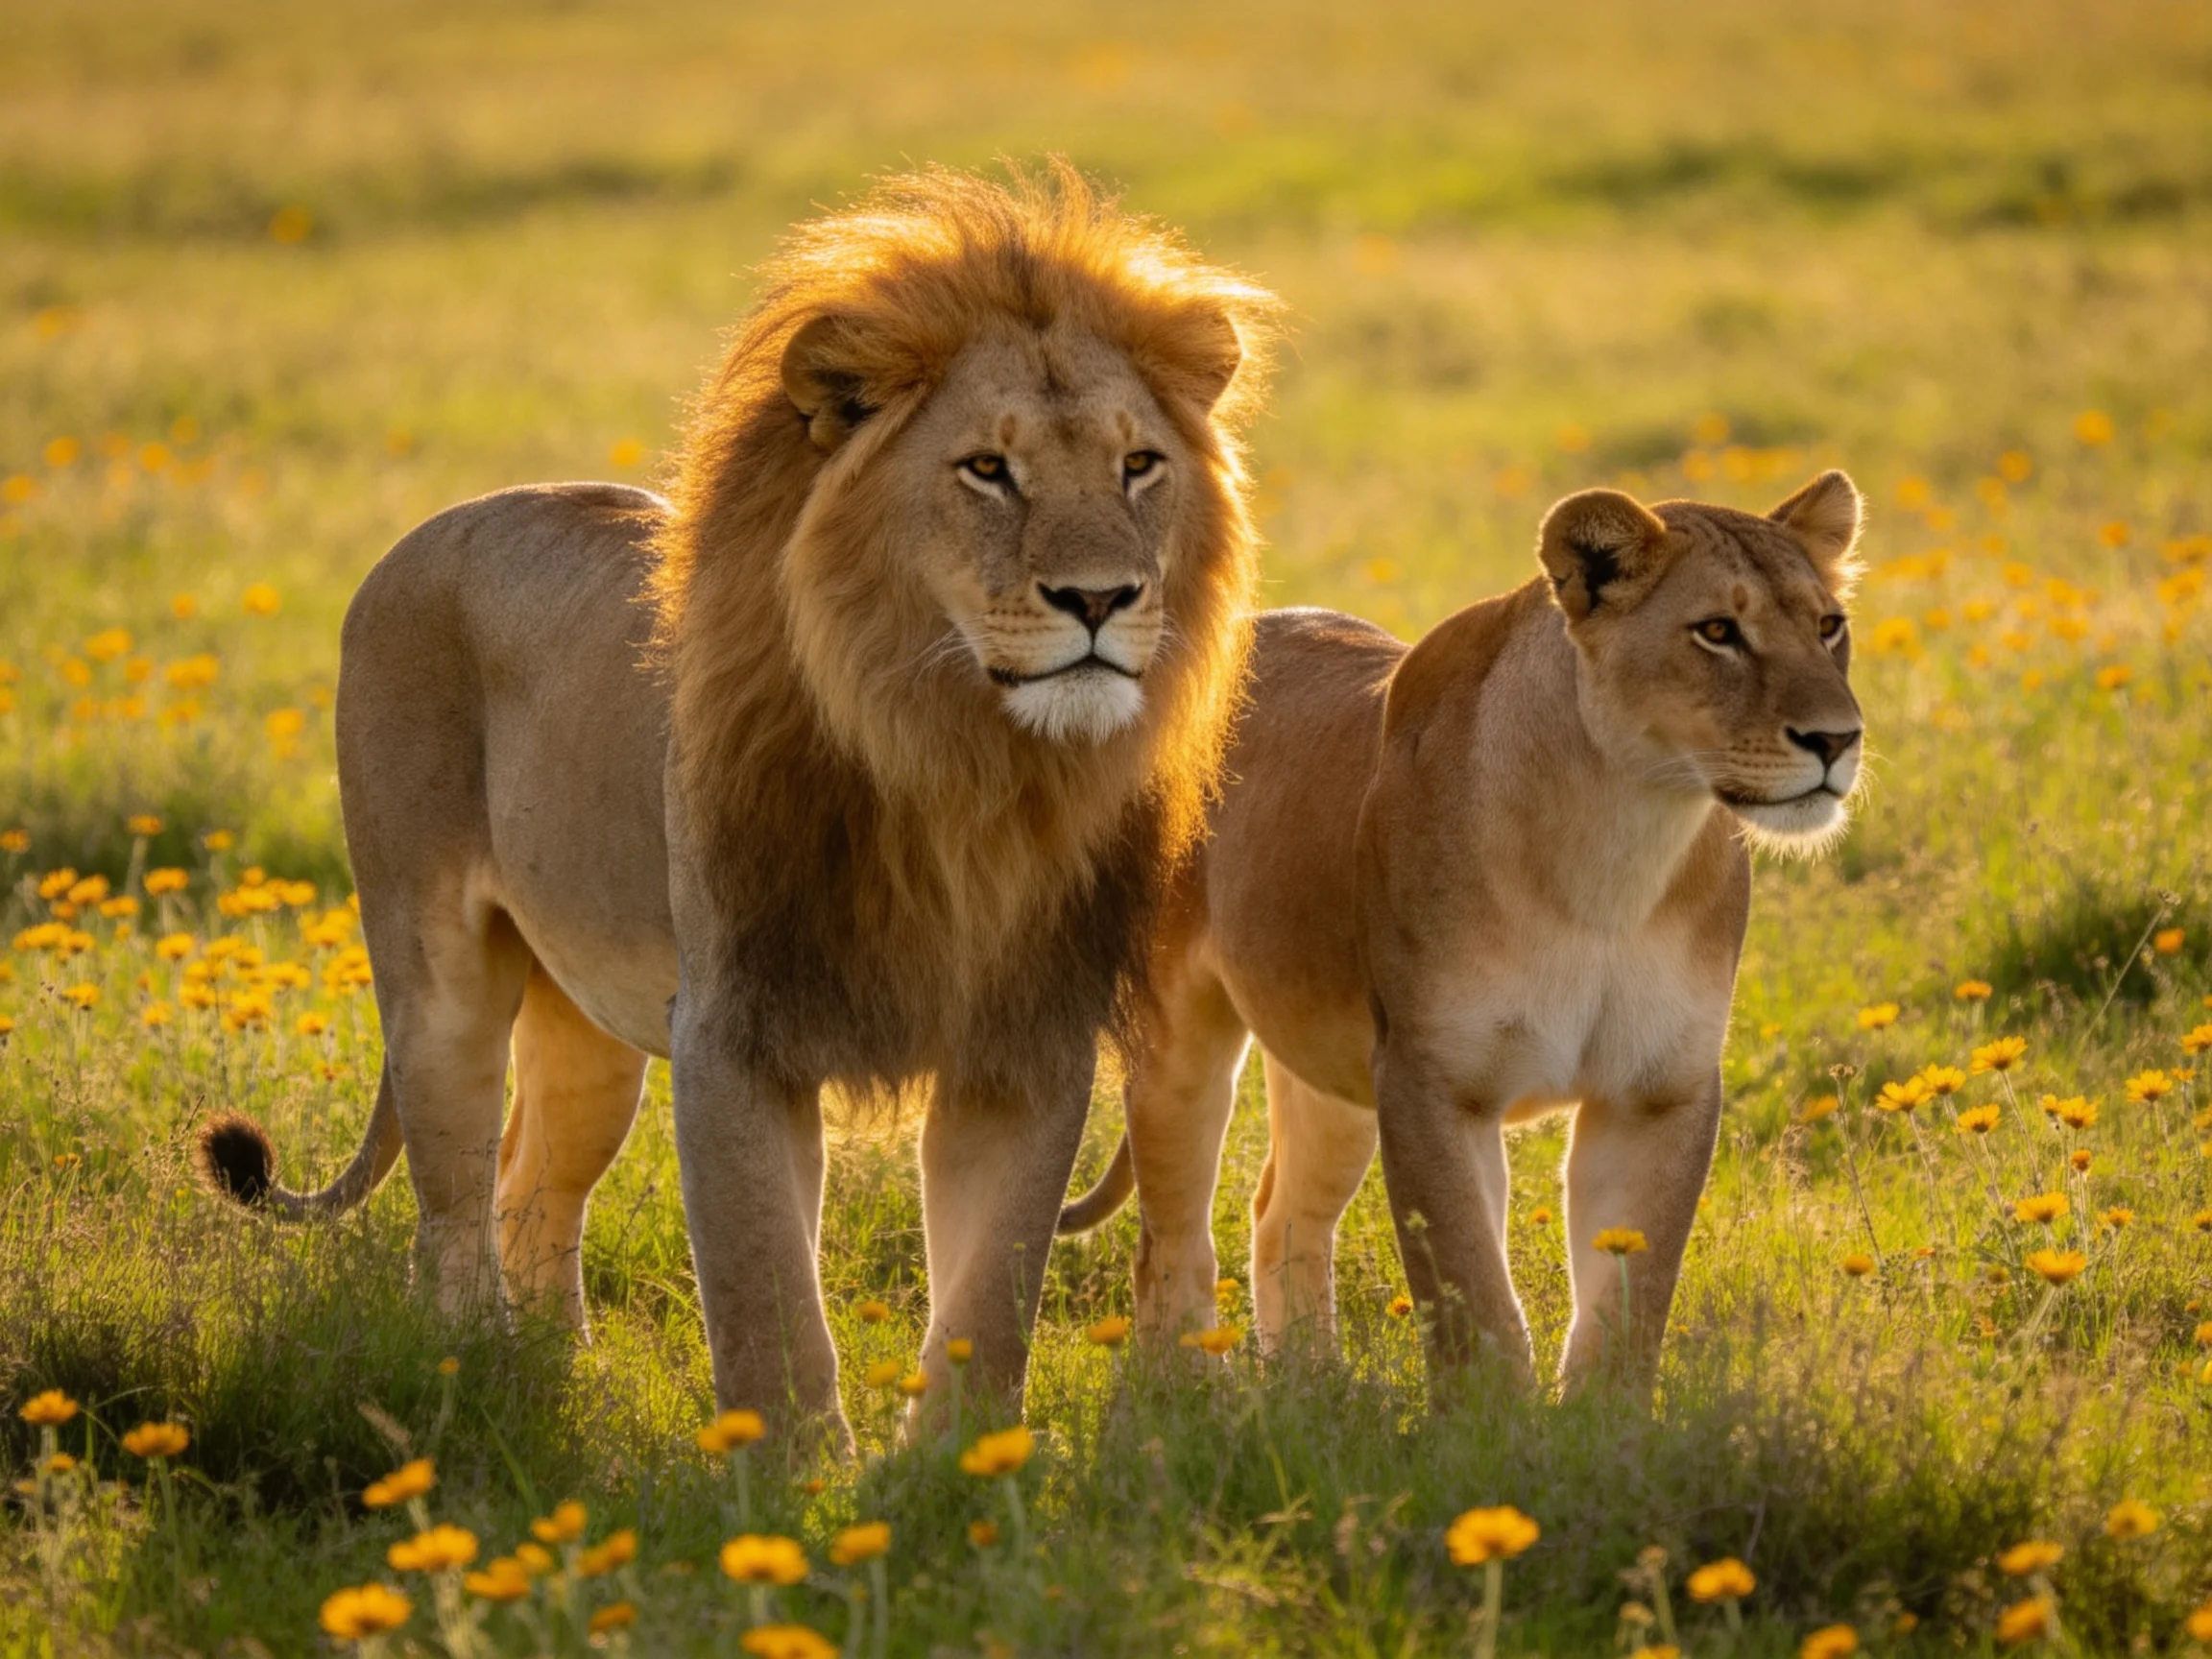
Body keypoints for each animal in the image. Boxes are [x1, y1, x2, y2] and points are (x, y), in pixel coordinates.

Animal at [195, 162, 1279, 1443]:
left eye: (1138, 465)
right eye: (987, 468)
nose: (1102, 598)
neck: (960, 768)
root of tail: (433, 527)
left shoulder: (1022, 1044)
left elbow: (990, 1295)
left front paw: (952, 1471)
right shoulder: (732, 1030)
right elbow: (766, 1296)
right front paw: (788, 1476)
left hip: (585, 1021)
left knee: (533, 1184)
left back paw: (561, 1375)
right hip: (435, 973)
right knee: (450, 1209)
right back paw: (477, 1378)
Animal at [1058, 473, 1865, 1389]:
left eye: (1828, 625)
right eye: (1718, 632)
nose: (1838, 739)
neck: (1620, 844)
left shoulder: (1657, 1088)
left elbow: (1629, 1302)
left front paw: (1606, 1422)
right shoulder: (1432, 1078)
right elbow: (1472, 1294)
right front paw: (1494, 1423)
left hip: (1331, 1066)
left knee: (1282, 1213)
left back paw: (1314, 1387)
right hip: (1180, 1045)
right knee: (1171, 1243)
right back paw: (1193, 1396)